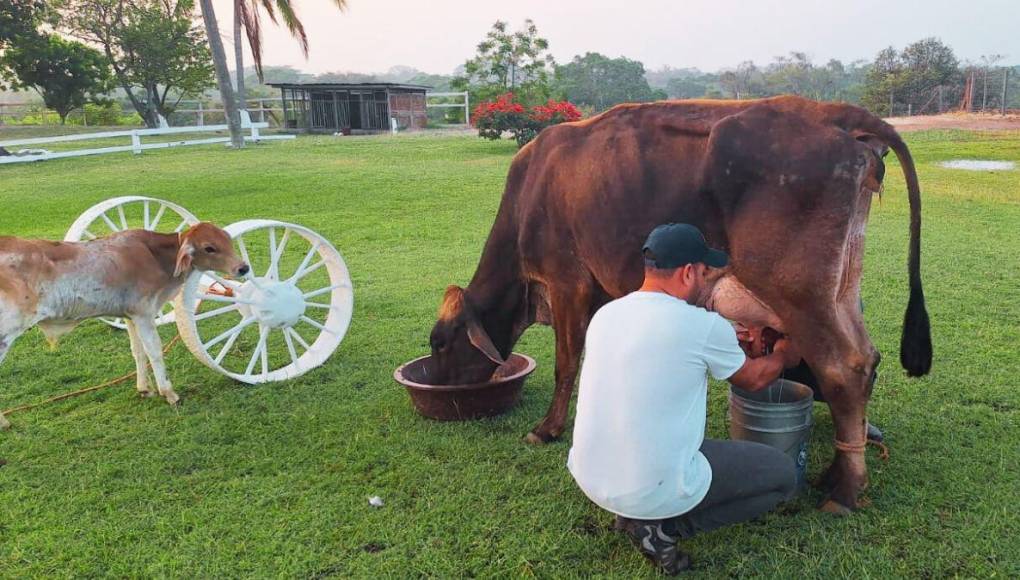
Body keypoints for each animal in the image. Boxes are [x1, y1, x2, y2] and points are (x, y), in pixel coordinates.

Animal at [0, 219, 246, 428]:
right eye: (209, 247)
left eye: (227, 239)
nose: (243, 267)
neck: (156, 256)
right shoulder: (144, 314)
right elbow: (155, 352)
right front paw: (169, 393)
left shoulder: (130, 316)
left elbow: (138, 351)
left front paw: (145, 389)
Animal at [428, 94, 934, 511]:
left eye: (440, 343)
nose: (440, 387)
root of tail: (831, 112)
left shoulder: (566, 280)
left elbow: (566, 363)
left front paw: (547, 428)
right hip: (841, 286)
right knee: (867, 358)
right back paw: (838, 470)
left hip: (799, 289)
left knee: (844, 368)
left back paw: (845, 490)